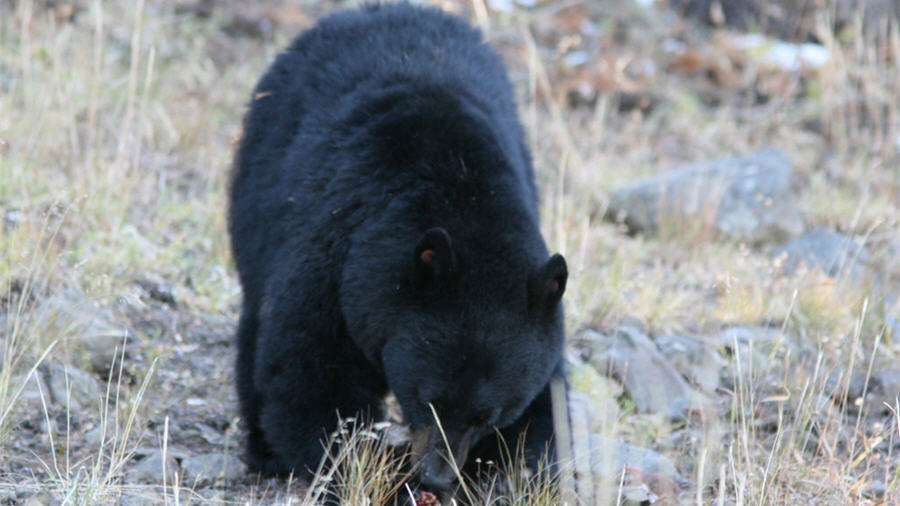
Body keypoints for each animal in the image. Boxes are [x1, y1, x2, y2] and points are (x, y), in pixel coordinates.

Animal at [228, 2, 568, 496]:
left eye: (488, 416)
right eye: (428, 400)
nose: (436, 476)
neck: (463, 193)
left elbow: (547, 400)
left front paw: (507, 472)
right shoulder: (337, 254)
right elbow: (312, 371)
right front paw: (357, 469)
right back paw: (262, 449)